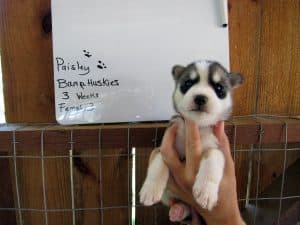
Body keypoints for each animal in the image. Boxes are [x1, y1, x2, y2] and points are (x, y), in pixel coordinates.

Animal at [139, 59, 243, 221]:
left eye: (219, 88)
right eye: (187, 83)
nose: (200, 97)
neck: (198, 127)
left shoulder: (218, 146)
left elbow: (213, 154)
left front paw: (206, 190)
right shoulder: (165, 145)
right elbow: (159, 159)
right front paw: (150, 188)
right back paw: (178, 209)